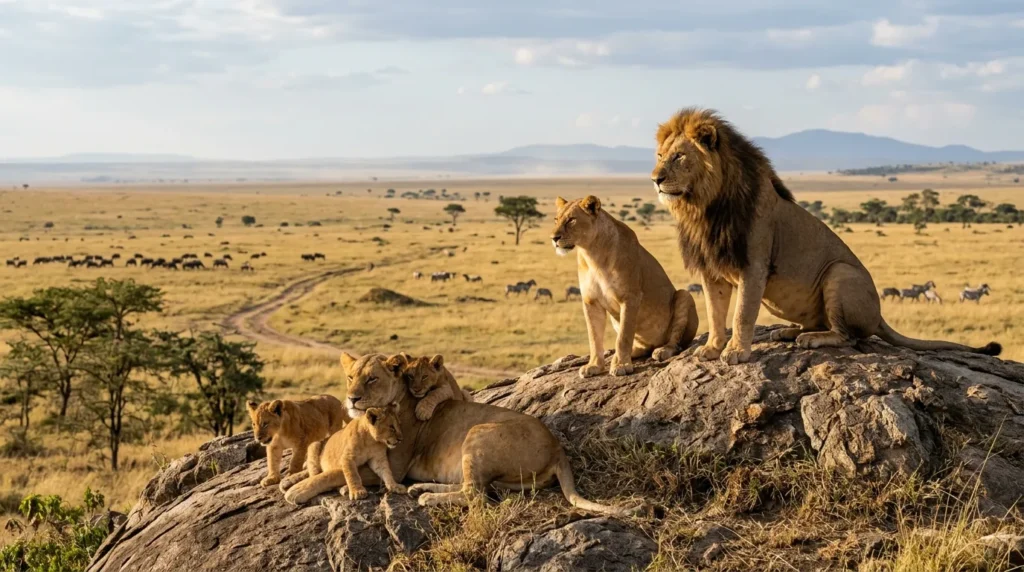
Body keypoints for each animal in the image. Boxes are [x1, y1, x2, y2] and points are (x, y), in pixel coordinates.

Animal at [280, 353, 639, 517]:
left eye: (372, 379)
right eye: (350, 377)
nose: (352, 398)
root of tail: (558, 448)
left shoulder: (394, 465)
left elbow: (334, 472)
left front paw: (298, 490)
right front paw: (291, 478)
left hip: (478, 432)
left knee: (475, 495)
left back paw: (426, 496)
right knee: (475, 486)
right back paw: (423, 487)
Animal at [551, 195, 699, 377]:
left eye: (571, 220)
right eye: (556, 220)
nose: (554, 238)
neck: (592, 254)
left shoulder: (630, 298)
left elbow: (623, 336)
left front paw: (621, 365)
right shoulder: (591, 302)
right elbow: (594, 337)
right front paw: (594, 365)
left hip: (684, 295)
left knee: (675, 342)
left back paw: (662, 350)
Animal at [650, 107, 1001, 364]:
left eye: (679, 156)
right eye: (660, 156)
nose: (655, 179)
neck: (704, 207)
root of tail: (879, 316)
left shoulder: (754, 264)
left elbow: (742, 314)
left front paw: (736, 351)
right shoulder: (711, 267)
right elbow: (715, 311)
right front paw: (712, 348)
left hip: (840, 273)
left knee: (848, 335)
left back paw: (812, 338)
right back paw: (788, 333)